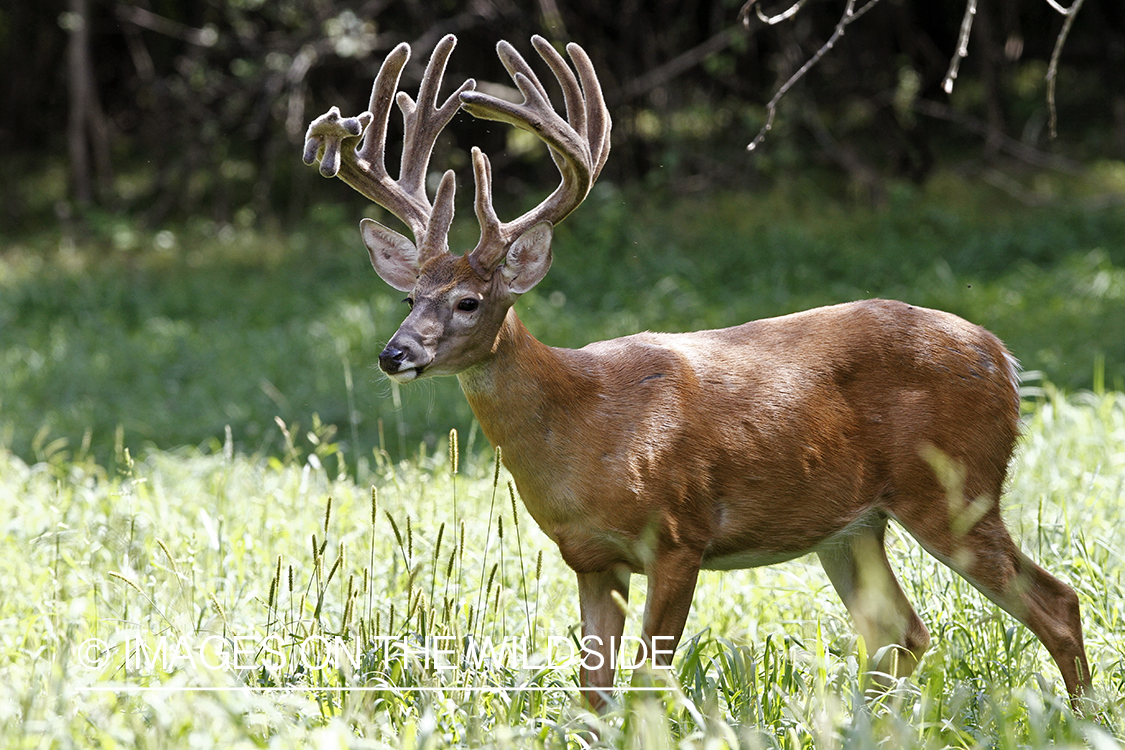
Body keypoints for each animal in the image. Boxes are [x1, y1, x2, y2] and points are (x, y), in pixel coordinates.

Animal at [303, 33, 1093, 710]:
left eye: (468, 301)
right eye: (408, 297)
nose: (394, 354)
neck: (584, 424)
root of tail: (1000, 354)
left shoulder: (680, 534)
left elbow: (649, 682)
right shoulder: (589, 559)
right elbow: (593, 692)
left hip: (955, 489)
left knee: (1054, 603)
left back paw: (1085, 715)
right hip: (853, 525)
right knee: (899, 633)